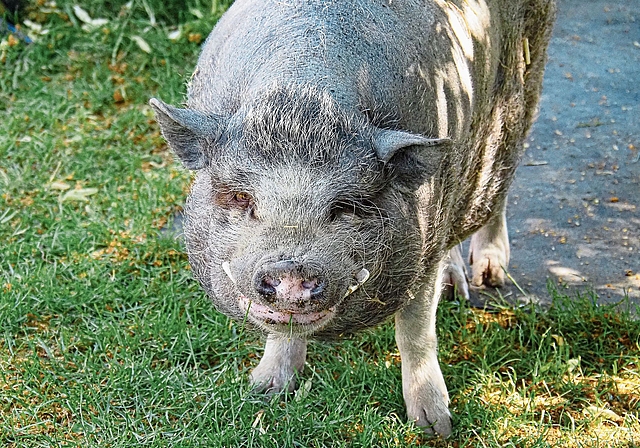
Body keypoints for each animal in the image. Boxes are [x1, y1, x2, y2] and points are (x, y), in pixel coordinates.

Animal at [150, 0, 556, 437]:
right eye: (242, 198)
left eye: (344, 207)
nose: (291, 269)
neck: (304, 97)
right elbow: (280, 330)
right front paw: (261, 392)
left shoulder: (427, 235)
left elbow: (415, 329)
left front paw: (435, 427)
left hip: (519, 93)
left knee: (499, 181)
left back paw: (489, 277)